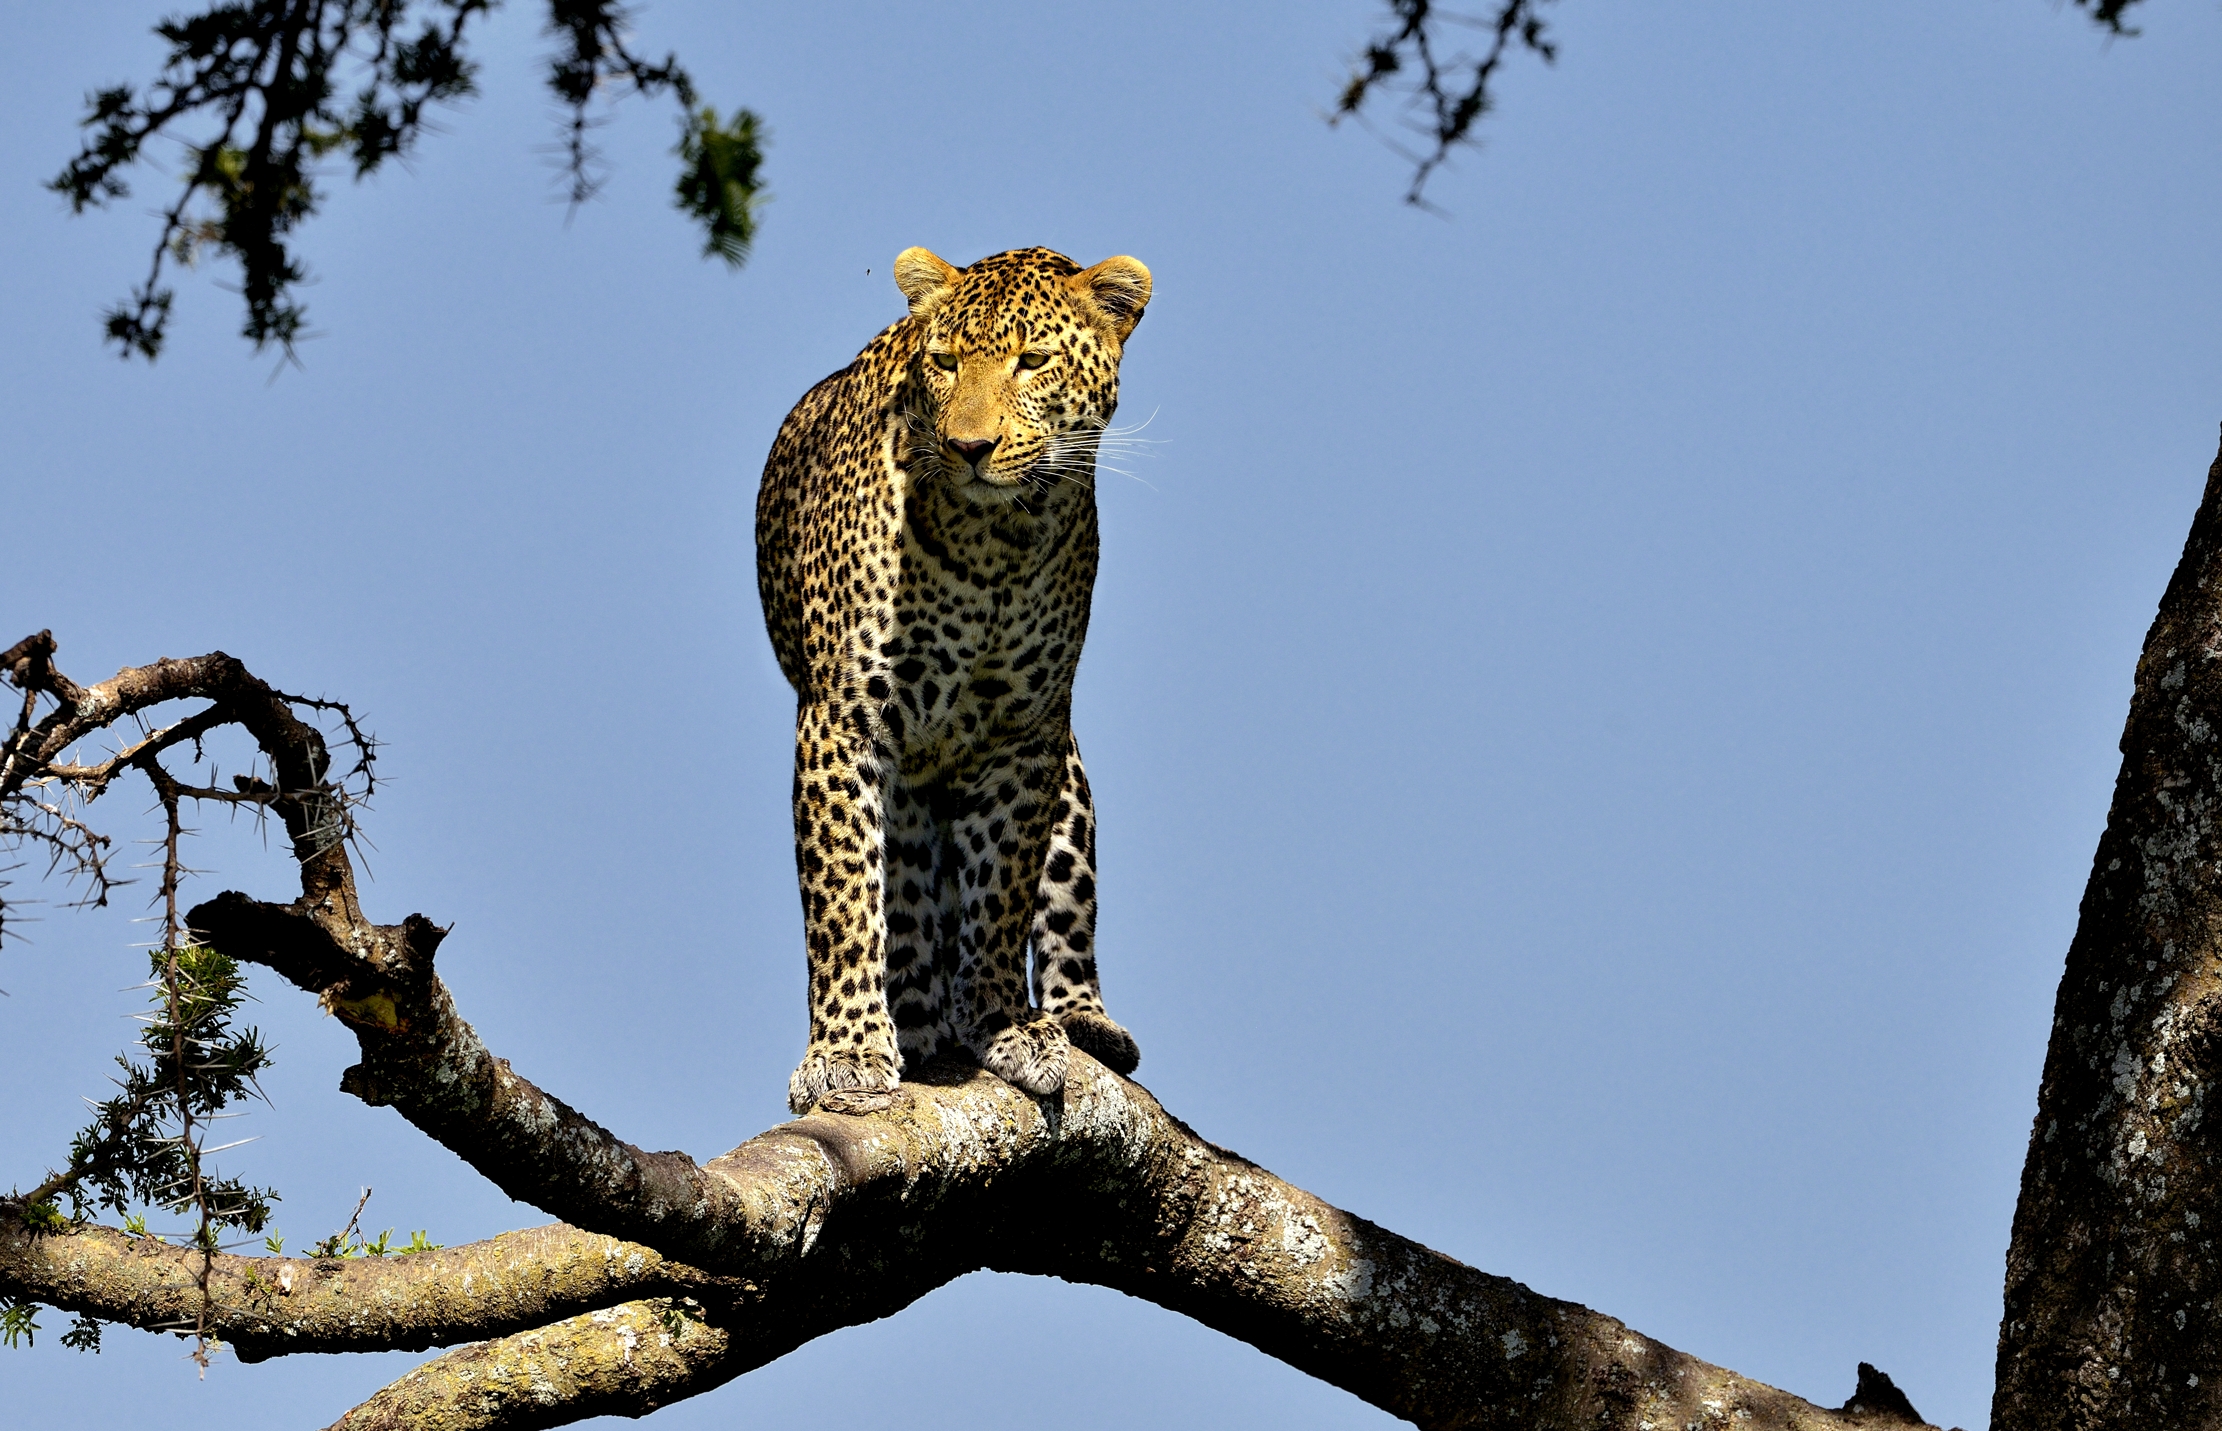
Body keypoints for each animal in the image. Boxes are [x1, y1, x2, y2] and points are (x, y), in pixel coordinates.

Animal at [756, 245, 1151, 1115]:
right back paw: (917, 1021)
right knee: (900, 903)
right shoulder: (844, 720)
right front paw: (847, 1049)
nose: (969, 446)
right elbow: (844, 895)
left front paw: (1005, 1021)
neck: (992, 544)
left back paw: (1080, 1018)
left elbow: (1003, 888)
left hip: (1068, 781)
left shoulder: (1025, 733)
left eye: (1032, 361)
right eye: (942, 363)